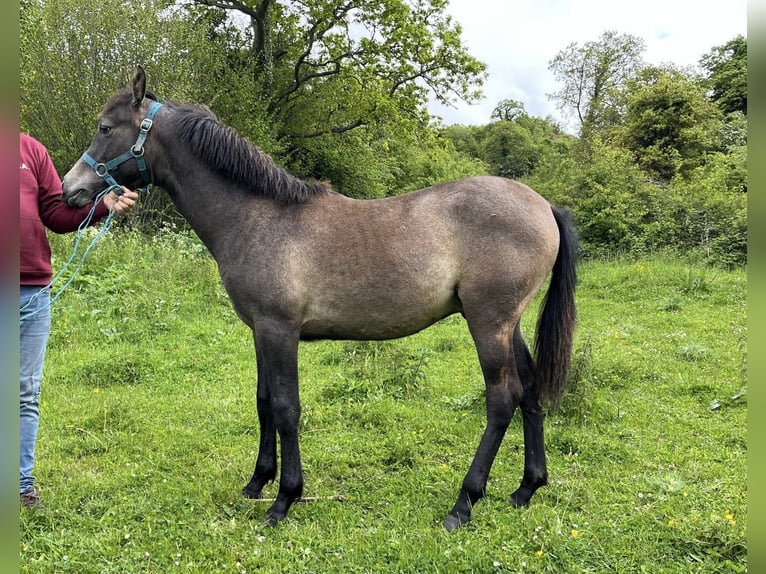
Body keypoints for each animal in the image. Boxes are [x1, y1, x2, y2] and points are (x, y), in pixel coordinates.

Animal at [63, 66, 580, 532]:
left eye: (105, 127)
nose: (72, 189)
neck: (257, 216)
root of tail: (544, 205)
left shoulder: (280, 330)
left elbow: (287, 408)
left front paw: (284, 500)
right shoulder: (260, 330)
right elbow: (263, 401)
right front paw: (257, 482)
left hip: (488, 323)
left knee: (502, 398)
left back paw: (463, 504)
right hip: (508, 324)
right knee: (530, 389)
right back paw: (526, 489)